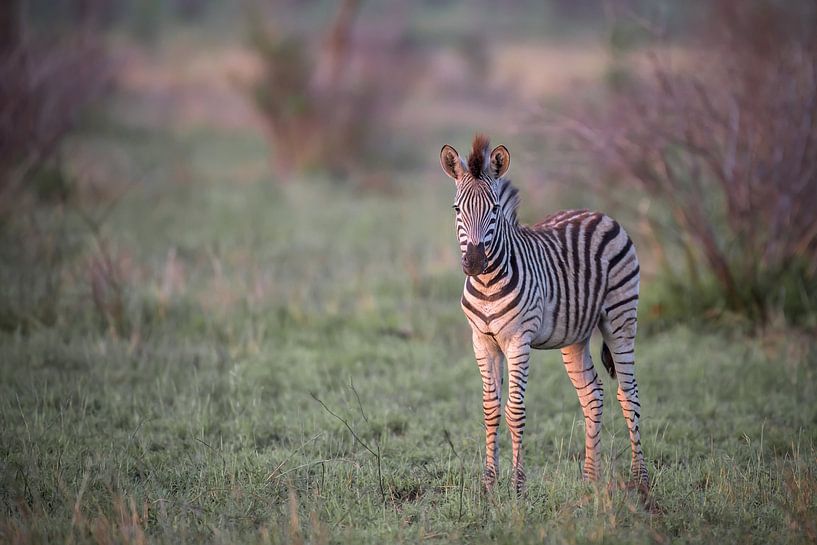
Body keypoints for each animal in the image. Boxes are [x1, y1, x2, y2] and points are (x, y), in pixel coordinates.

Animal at [439, 134, 648, 496]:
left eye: (495, 209)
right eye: (457, 209)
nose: (475, 263)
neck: (487, 284)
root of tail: (599, 214)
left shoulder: (518, 341)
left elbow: (515, 410)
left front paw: (517, 486)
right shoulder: (482, 341)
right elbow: (491, 410)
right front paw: (489, 483)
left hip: (621, 317)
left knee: (628, 393)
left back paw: (640, 479)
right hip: (575, 334)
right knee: (593, 394)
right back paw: (590, 479)